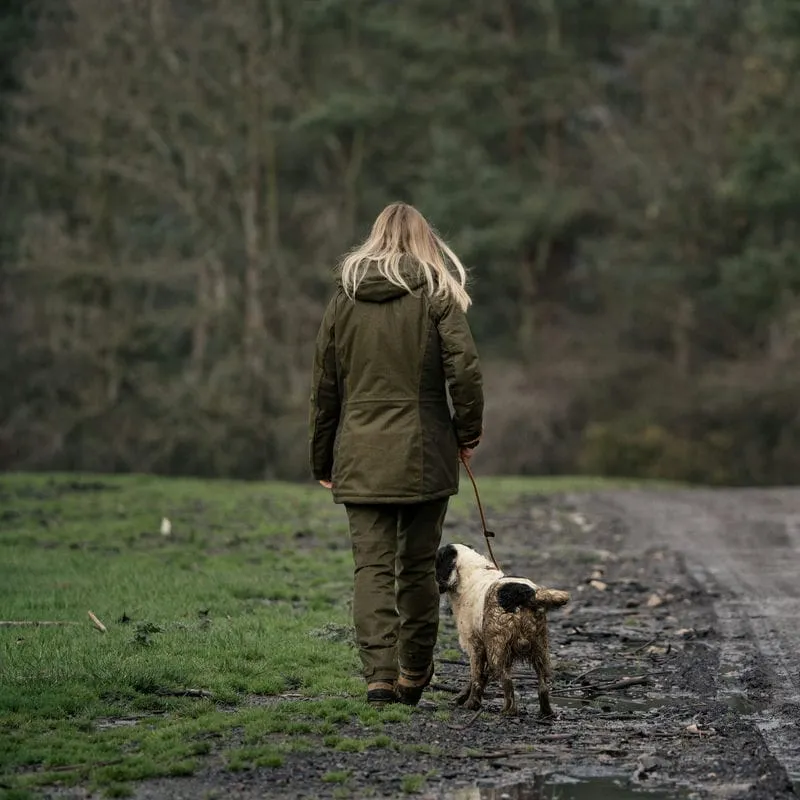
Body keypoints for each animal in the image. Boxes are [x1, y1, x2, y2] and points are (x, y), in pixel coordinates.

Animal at [434, 544, 572, 720]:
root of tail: (526, 594)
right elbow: (480, 678)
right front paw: (463, 698)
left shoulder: (476, 645)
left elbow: (476, 677)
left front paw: (471, 703)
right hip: (540, 649)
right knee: (542, 684)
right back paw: (546, 712)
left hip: (498, 649)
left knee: (507, 682)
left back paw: (508, 711)